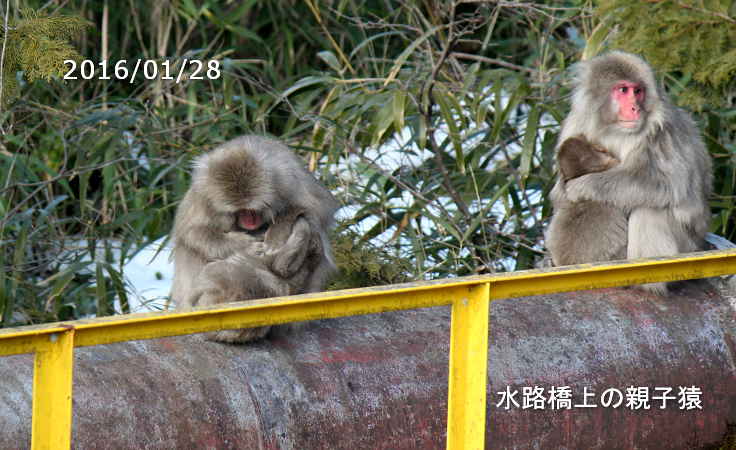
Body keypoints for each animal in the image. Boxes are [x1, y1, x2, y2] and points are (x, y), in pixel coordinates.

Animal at [170, 134, 340, 342]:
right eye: (239, 212)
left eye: (251, 210)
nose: (249, 221)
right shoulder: (202, 192)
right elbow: (192, 231)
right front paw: (244, 245)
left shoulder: (289, 178)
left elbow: (320, 207)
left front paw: (277, 233)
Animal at [548, 51, 712, 294]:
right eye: (623, 90)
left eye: (638, 91)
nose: (635, 107)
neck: (615, 128)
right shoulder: (577, 122)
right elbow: (558, 195)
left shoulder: (662, 129)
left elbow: (669, 184)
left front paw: (583, 186)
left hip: (689, 245)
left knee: (648, 210)